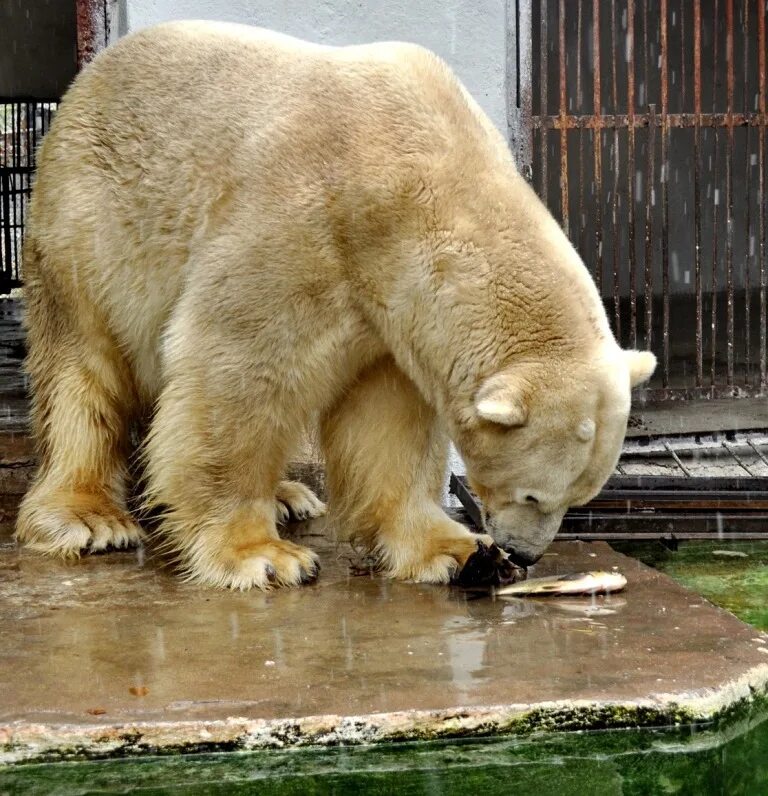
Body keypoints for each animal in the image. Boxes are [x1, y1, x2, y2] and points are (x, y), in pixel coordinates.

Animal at [16, 21, 656, 588]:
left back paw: (290, 495)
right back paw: (89, 516)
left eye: (581, 495)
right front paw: (262, 556)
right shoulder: (308, 228)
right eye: (533, 494)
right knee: (84, 367)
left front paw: (454, 550)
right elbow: (237, 367)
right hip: (91, 226)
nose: (524, 554)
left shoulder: (393, 310)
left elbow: (388, 421)